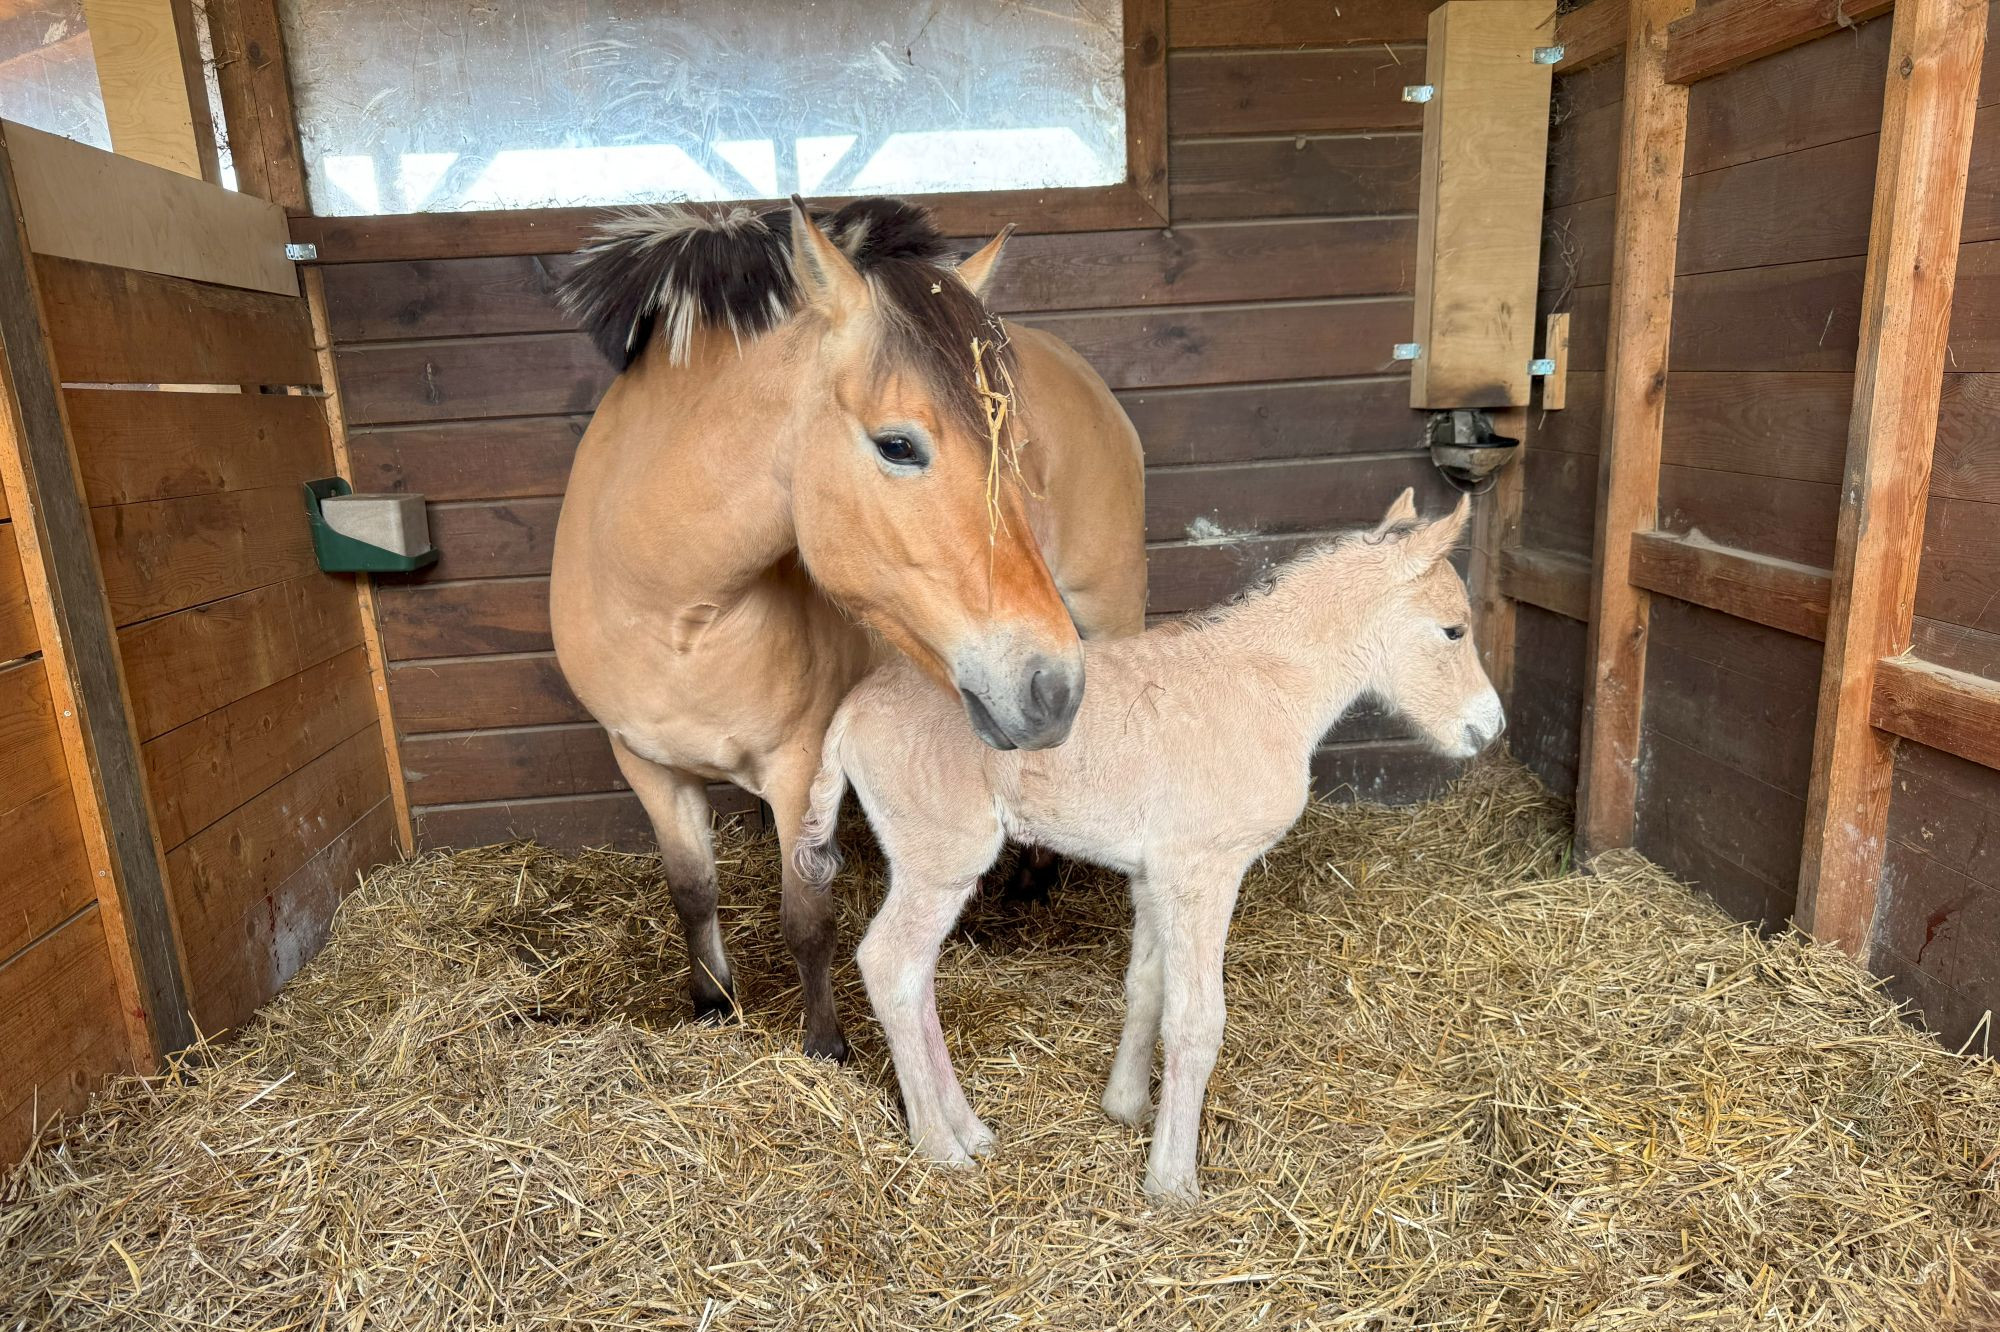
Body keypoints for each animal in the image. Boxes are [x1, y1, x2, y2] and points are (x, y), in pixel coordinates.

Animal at [549, 197, 1146, 1061]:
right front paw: (712, 1003)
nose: (1050, 685)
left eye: (1014, 449)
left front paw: (824, 1046)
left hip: (1102, 616)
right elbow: (690, 890)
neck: (676, 613)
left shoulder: (799, 766)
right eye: (898, 444)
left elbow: (807, 917)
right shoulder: (645, 765)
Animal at [795, 490, 1504, 1199]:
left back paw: (970, 1129)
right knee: (890, 964)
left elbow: (1148, 987)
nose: (1490, 726)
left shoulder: (1155, 874)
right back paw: (939, 1147)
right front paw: (1172, 1183)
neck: (1266, 687)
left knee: (917, 976)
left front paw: (1126, 1108)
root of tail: (850, 712)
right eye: (1454, 630)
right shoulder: (1205, 871)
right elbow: (1196, 1020)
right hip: (941, 862)